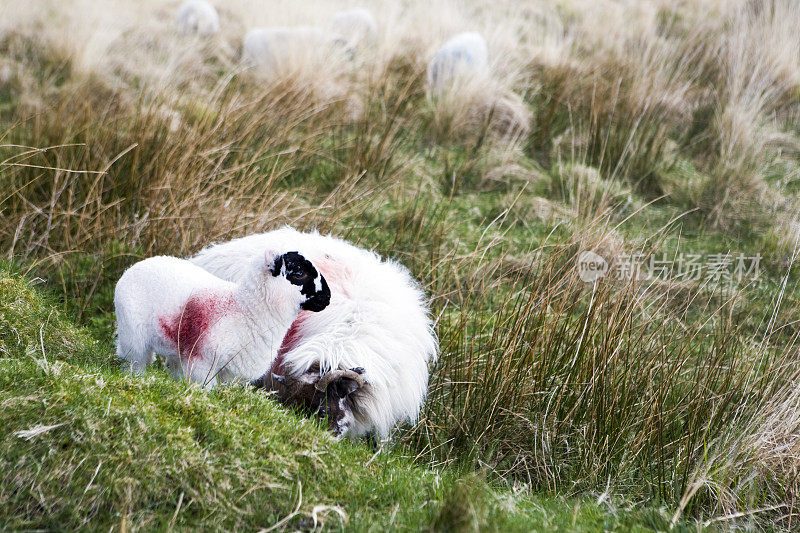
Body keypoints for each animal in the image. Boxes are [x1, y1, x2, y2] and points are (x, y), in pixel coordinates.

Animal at [113, 249, 332, 386]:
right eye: (299, 273)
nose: (328, 297)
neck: (245, 309)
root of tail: (137, 265)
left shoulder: (229, 373)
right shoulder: (203, 363)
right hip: (133, 335)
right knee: (136, 362)